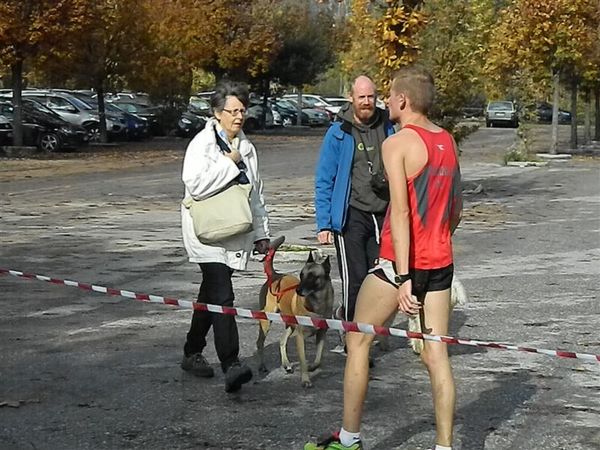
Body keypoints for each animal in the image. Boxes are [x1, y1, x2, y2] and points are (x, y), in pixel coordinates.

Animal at [256, 237, 336, 388]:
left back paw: (286, 364)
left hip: (290, 325)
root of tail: (274, 275)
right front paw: (305, 380)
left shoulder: (321, 334)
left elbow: (318, 359)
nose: (298, 290)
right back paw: (262, 365)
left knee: (282, 340)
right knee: (260, 342)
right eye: (301, 275)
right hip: (267, 320)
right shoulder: (300, 337)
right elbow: (303, 361)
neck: (316, 304)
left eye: (313, 277)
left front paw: (313, 367)